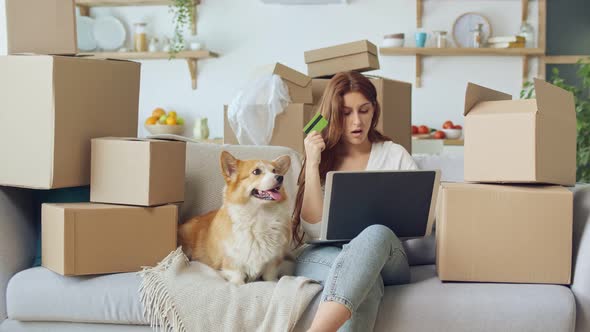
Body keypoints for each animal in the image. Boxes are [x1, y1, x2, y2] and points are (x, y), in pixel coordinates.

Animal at [179, 152, 292, 284]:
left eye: (275, 171)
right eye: (256, 171)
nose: (280, 177)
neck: (259, 215)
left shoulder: (273, 262)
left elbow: (270, 277)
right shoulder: (232, 262)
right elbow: (238, 278)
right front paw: (238, 284)